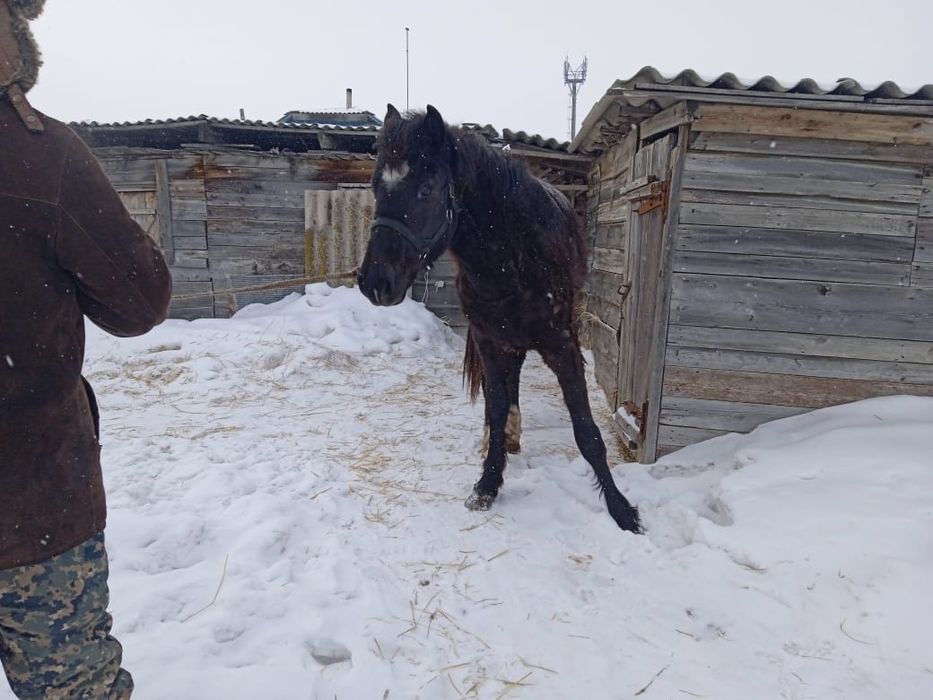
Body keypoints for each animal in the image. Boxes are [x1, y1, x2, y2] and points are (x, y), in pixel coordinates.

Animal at [358, 104, 640, 533]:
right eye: (376, 187)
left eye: (426, 189)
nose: (375, 283)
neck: (515, 256)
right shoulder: (490, 343)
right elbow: (496, 405)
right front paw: (488, 483)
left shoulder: (563, 346)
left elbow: (587, 432)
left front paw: (621, 509)